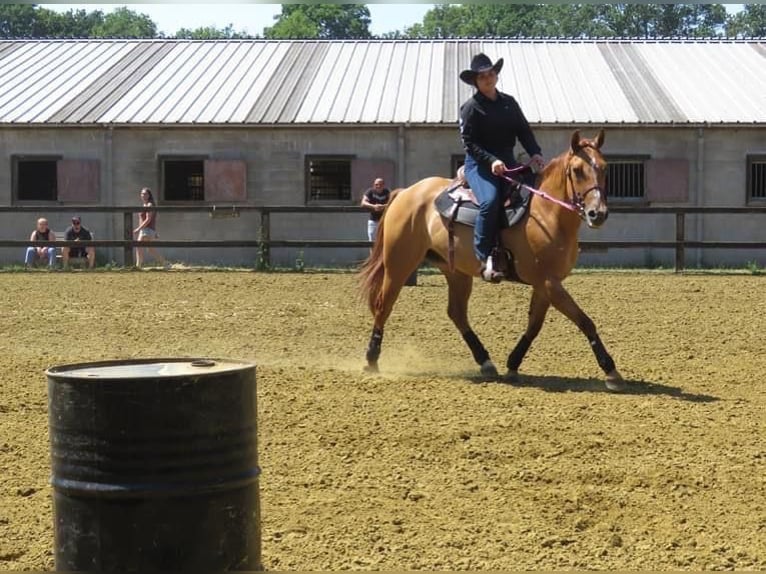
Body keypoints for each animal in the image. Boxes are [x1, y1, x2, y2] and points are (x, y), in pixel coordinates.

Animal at [356, 129, 628, 392]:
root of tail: (407, 193)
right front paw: (611, 371)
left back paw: (485, 362)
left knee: (457, 313)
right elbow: (585, 321)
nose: (597, 213)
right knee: (383, 306)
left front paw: (513, 364)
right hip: (399, 264)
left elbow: (534, 326)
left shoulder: (544, 284)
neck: (546, 213)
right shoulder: (549, 282)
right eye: (577, 170)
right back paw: (371, 359)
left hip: (456, 272)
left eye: (605, 168)